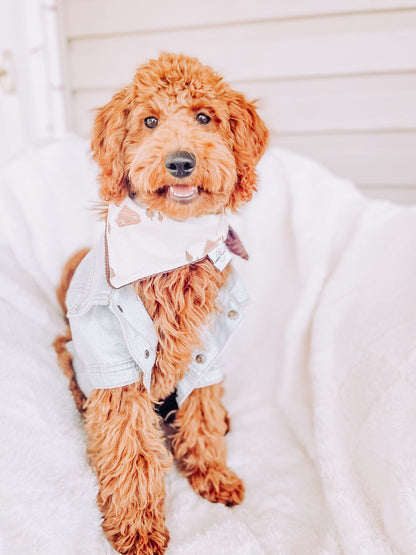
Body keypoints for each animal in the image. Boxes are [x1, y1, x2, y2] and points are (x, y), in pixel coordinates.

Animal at [53, 53, 268, 555]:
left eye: (204, 117)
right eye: (149, 122)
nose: (181, 162)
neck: (173, 247)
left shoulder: (206, 350)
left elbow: (201, 412)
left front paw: (212, 472)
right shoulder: (117, 370)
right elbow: (129, 447)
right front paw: (137, 526)